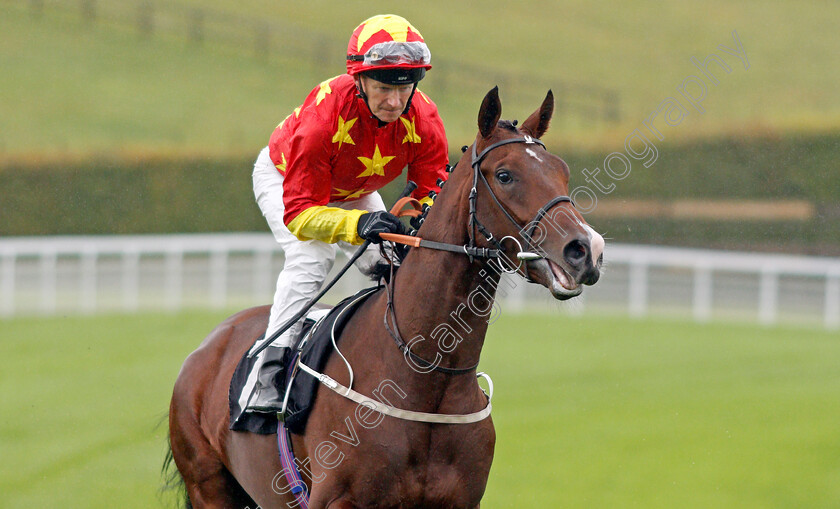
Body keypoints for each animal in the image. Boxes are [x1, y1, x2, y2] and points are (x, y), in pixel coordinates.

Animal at [167, 85, 604, 506]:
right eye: (505, 174)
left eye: (563, 172)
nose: (586, 249)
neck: (427, 382)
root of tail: (211, 342)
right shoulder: (338, 500)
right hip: (208, 485)